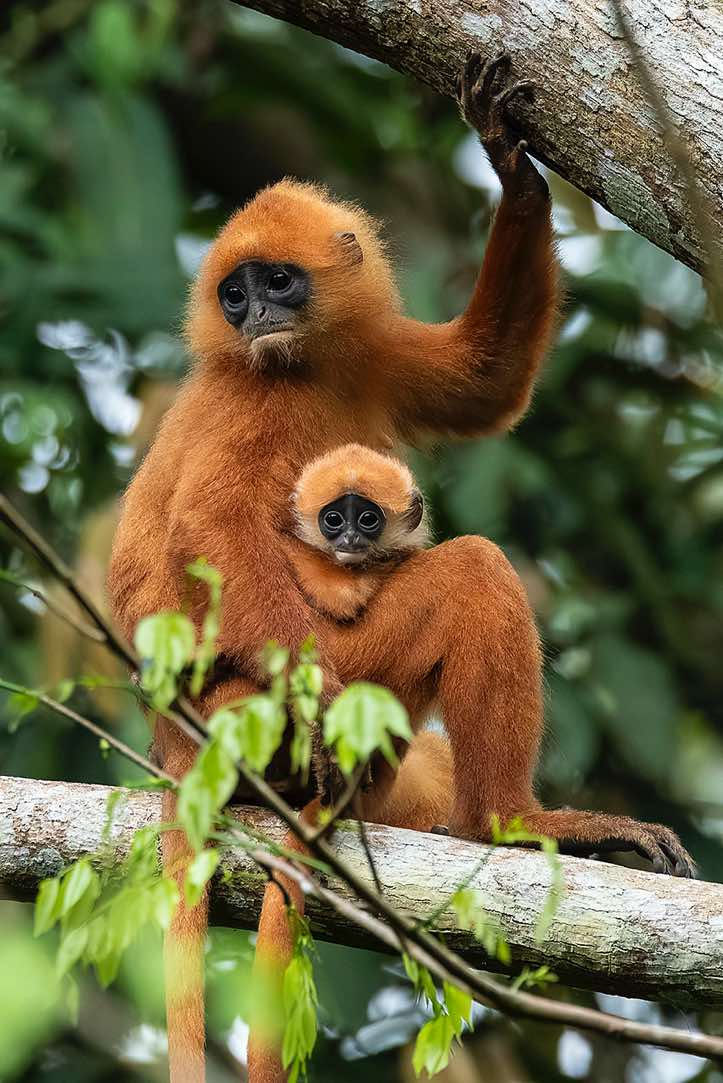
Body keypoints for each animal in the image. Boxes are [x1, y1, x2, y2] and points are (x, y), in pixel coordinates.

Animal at [107, 52, 695, 1083]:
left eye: (277, 282)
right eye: (234, 295)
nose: (254, 314)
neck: (294, 368)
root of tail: (175, 749)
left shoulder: (369, 353)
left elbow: (482, 384)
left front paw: (510, 164)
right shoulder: (243, 399)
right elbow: (209, 525)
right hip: (256, 710)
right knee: (475, 574)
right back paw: (510, 822)